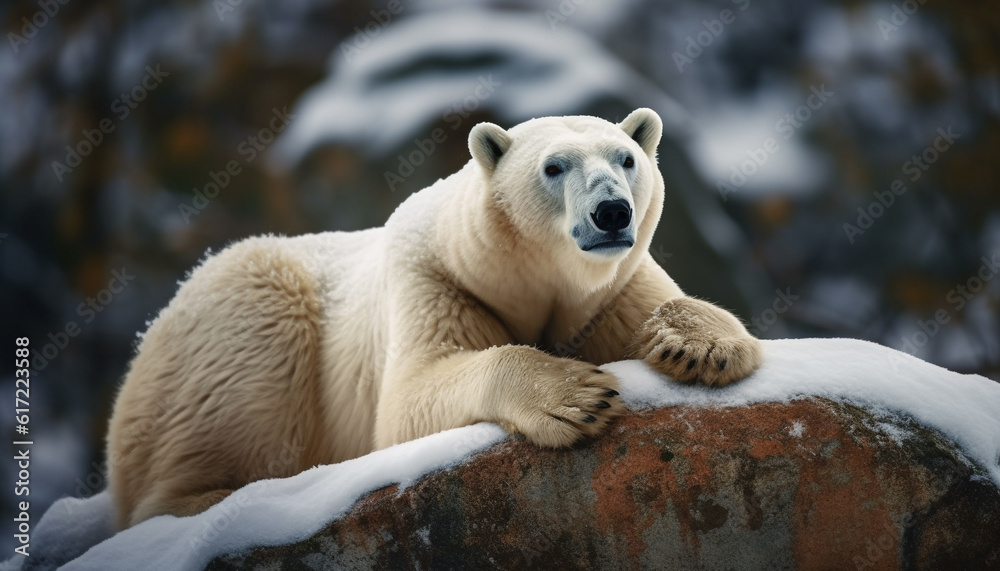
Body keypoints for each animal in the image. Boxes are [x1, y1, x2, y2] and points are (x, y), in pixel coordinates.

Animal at [105, 109, 760, 528]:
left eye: (627, 159)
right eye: (554, 167)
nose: (612, 212)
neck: (527, 281)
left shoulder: (610, 291)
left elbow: (660, 306)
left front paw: (704, 346)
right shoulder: (437, 281)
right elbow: (409, 400)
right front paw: (575, 396)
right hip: (239, 310)